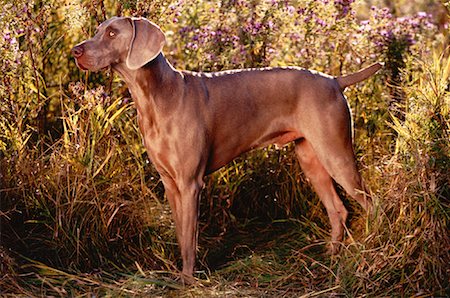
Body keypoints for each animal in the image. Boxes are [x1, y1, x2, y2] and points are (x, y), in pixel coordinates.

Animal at [72, 16, 382, 282]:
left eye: (112, 33)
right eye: (98, 30)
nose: (75, 51)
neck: (155, 98)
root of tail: (335, 81)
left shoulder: (191, 183)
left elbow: (190, 239)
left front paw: (187, 281)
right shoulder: (170, 183)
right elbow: (181, 234)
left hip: (336, 154)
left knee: (372, 204)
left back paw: (370, 251)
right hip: (311, 159)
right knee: (338, 209)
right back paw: (330, 256)